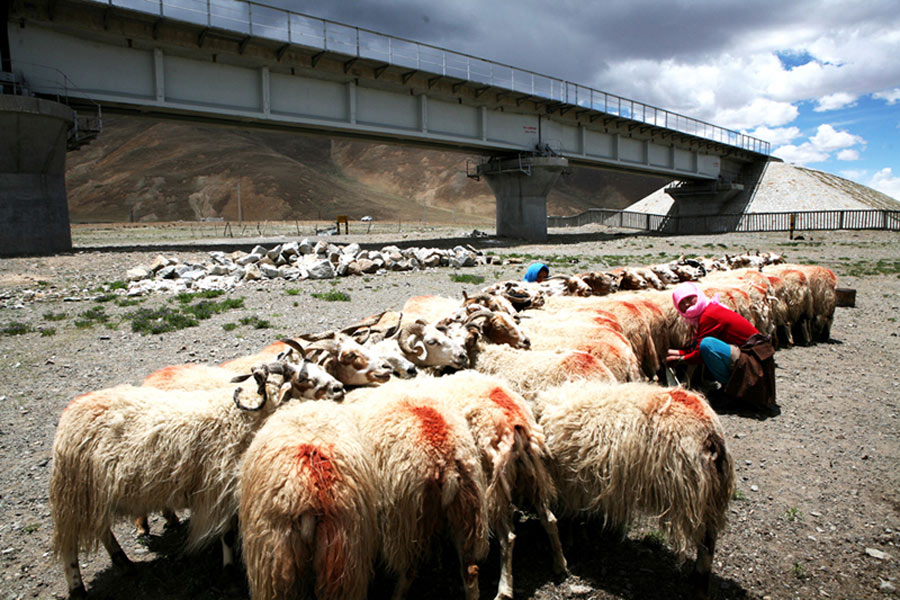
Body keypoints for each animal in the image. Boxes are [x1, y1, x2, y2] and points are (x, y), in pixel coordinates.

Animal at [51, 360, 342, 600]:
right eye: (303, 378)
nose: (339, 389)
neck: (238, 418)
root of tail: (72, 409)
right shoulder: (219, 491)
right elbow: (226, 535)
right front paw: (228, 574)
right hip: (74, 491)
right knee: (70, 545)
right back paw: (77, 588)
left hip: (93, 494)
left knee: (101, 529)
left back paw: (124, 562)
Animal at [342, 384, 488, 600]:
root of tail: (447, 463)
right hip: (466, 510)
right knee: (470, 570)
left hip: (406, 519)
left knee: (409, 571)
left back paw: (396, 595)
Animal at [536, 382, 732, 596]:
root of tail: (711, 434)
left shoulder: (570, 482)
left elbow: (569, 517)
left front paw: (572, 540)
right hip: (711, 497)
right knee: (710, 538)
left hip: (692, 494)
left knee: (705, 541)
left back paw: (699, 583)